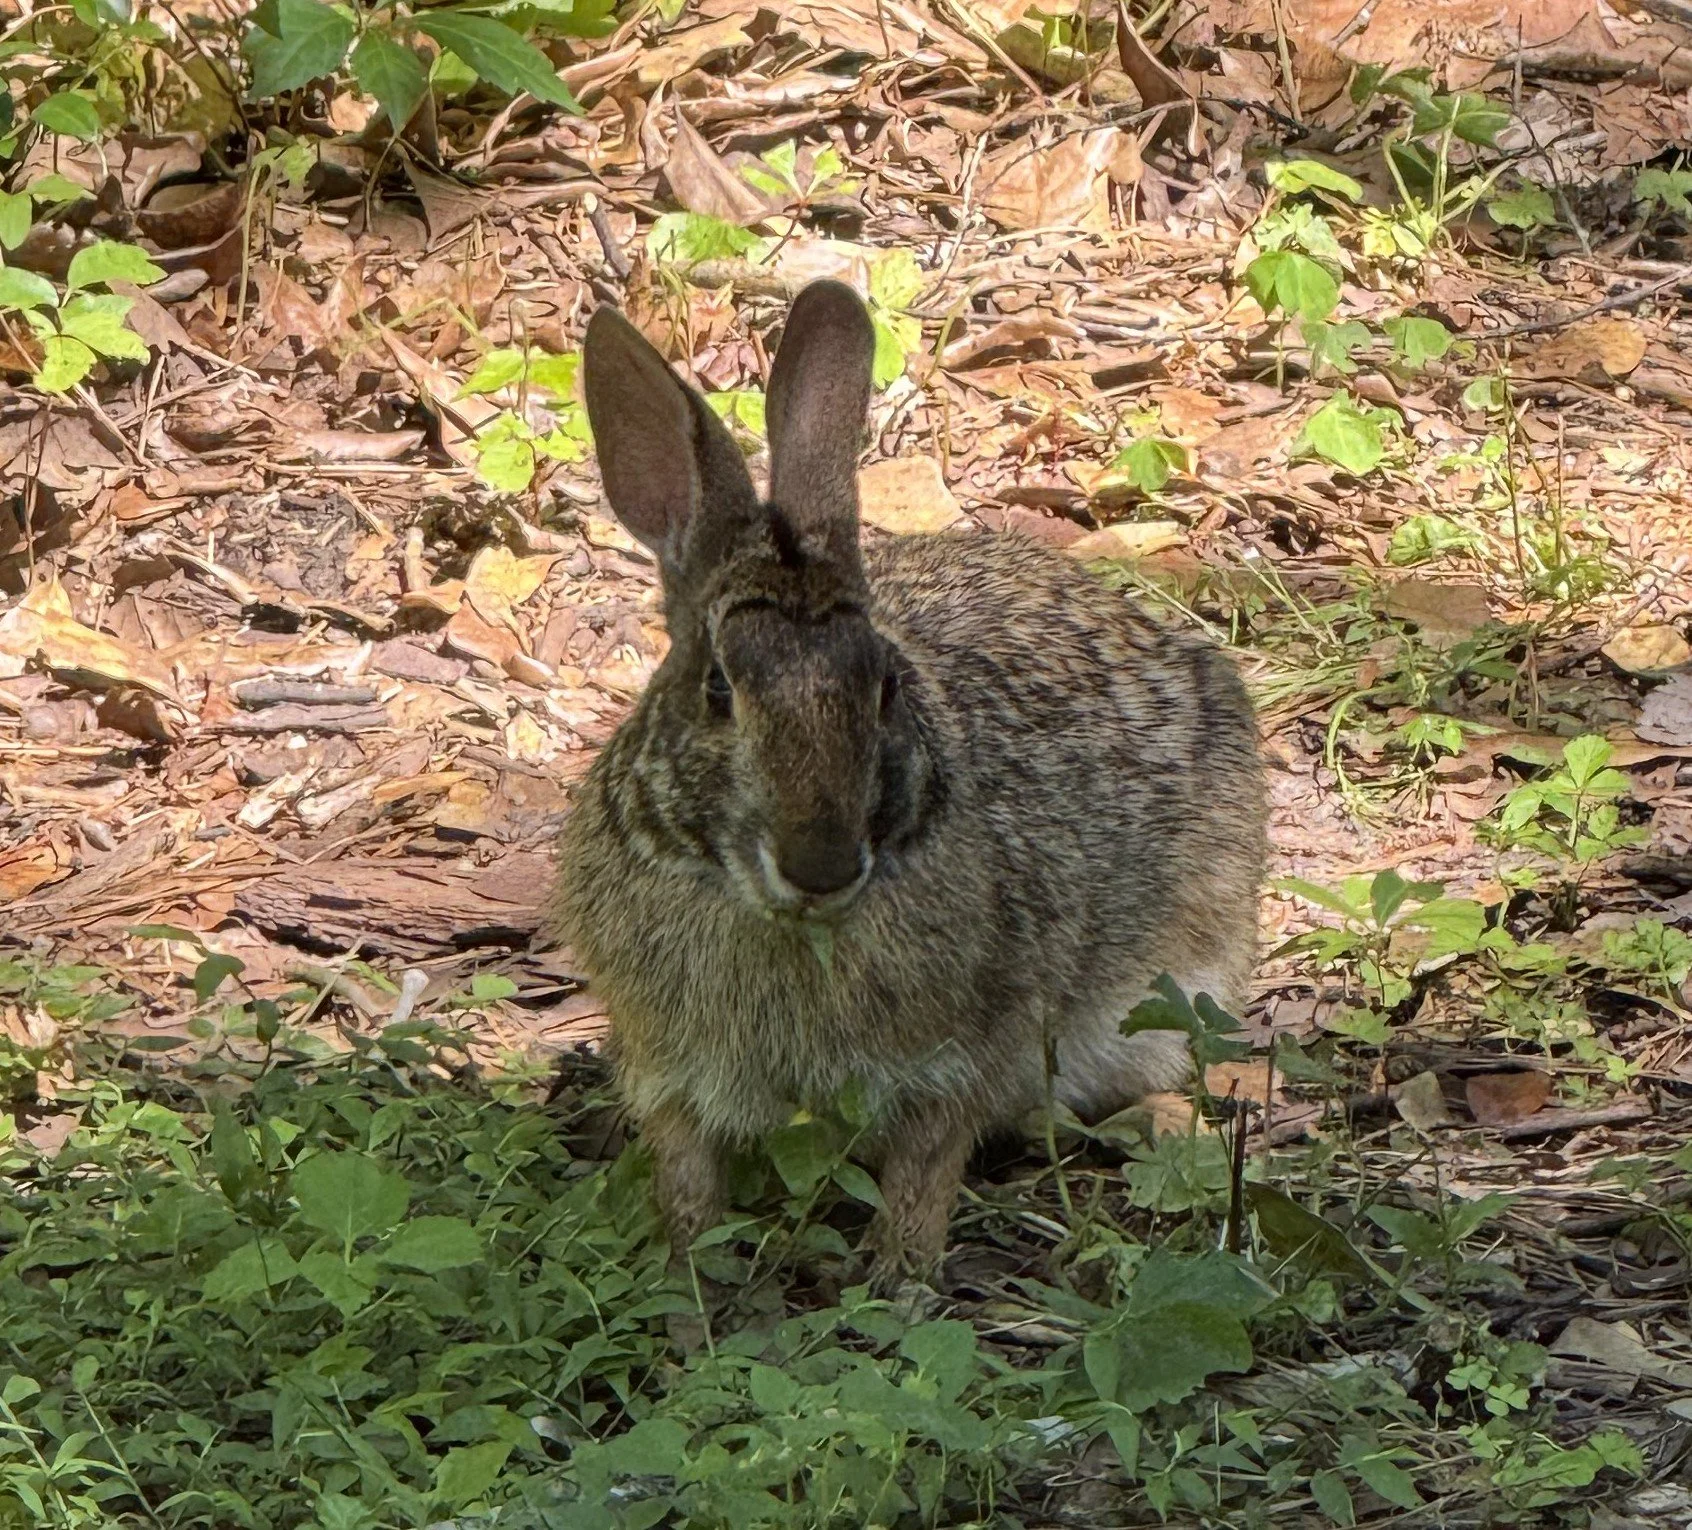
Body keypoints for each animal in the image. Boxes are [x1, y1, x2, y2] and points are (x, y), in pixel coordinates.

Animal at [549, 279, 1266, 1285]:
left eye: (885, 685)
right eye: (718, 689)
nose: (821, 863)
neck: (786, 921)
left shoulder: (958, 1056)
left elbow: (926, 1170)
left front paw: (898, 1278)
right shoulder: (667, 1068)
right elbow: (687, 1175)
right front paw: (685, 1266)